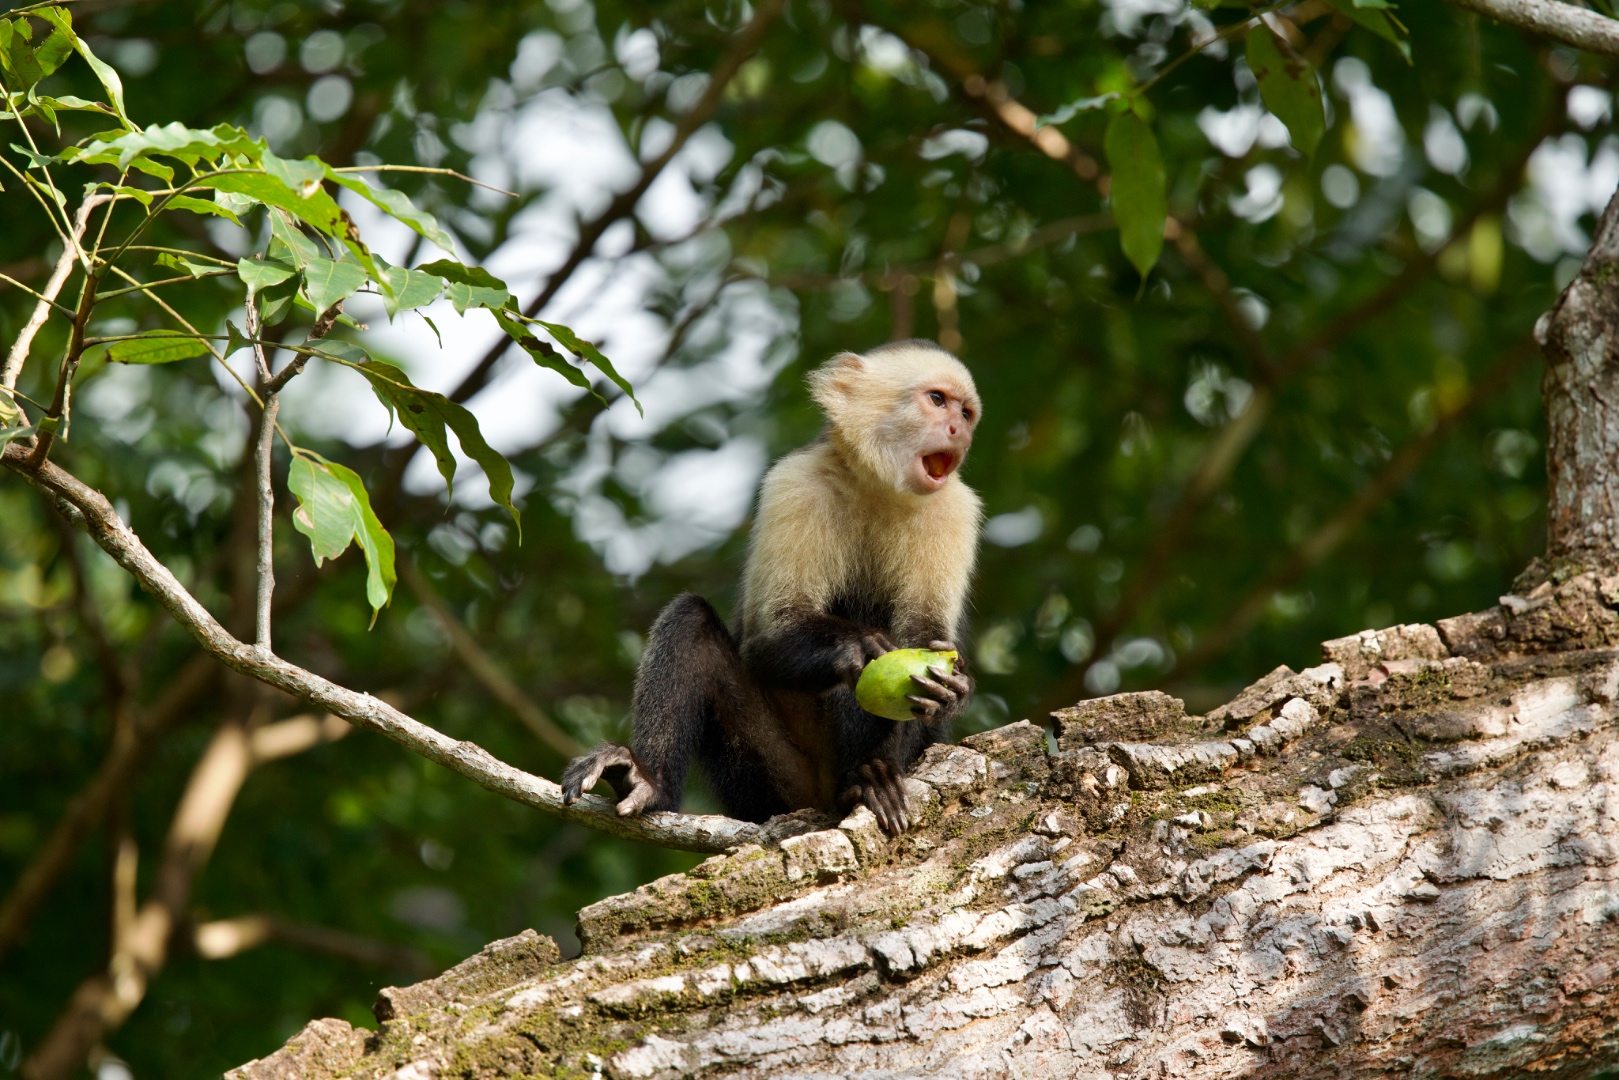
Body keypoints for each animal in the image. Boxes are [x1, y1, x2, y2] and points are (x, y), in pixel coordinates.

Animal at [561, 339, 982, 835]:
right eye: (937, 400)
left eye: (967, 413)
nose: (959, 431)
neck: (879, 488)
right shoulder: (795, 482)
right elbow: (768, 638)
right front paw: (855, 647)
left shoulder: (954, 508)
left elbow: (925, 636)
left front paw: (952, 686)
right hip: (763, 784)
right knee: (690, 620)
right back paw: (646, 782)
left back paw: (870, 775)